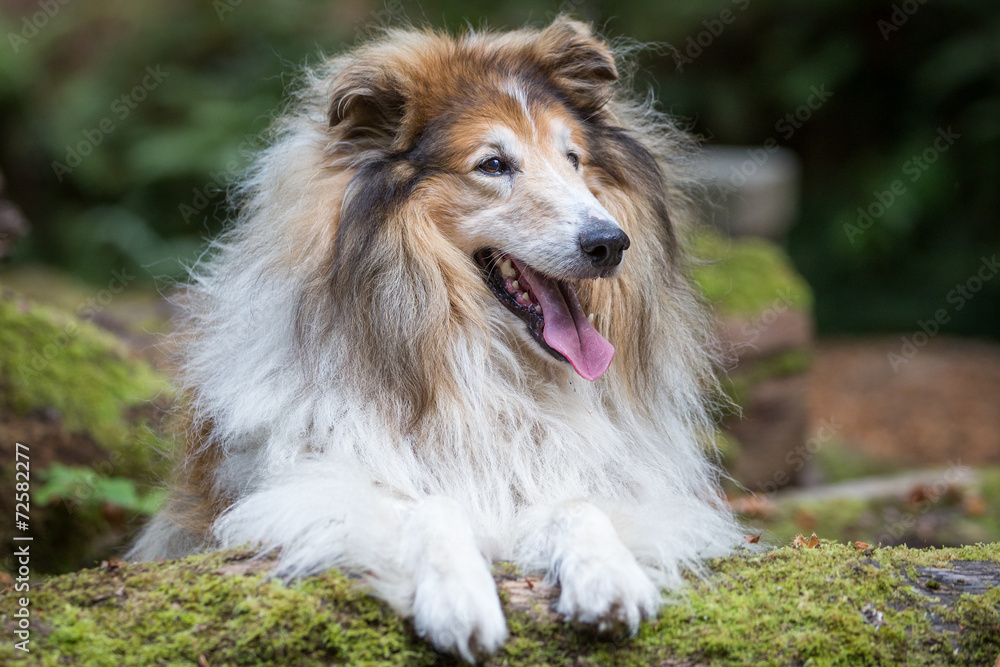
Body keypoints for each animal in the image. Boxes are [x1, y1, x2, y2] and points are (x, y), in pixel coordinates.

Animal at [131, 15, 744, 664]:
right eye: (493, 165)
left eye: (573, 158)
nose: (611, 243)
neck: (471, 357)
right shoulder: (310, 484)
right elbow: (429, 504)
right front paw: (459, 600)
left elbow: (578, 504)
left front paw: (609, 578)